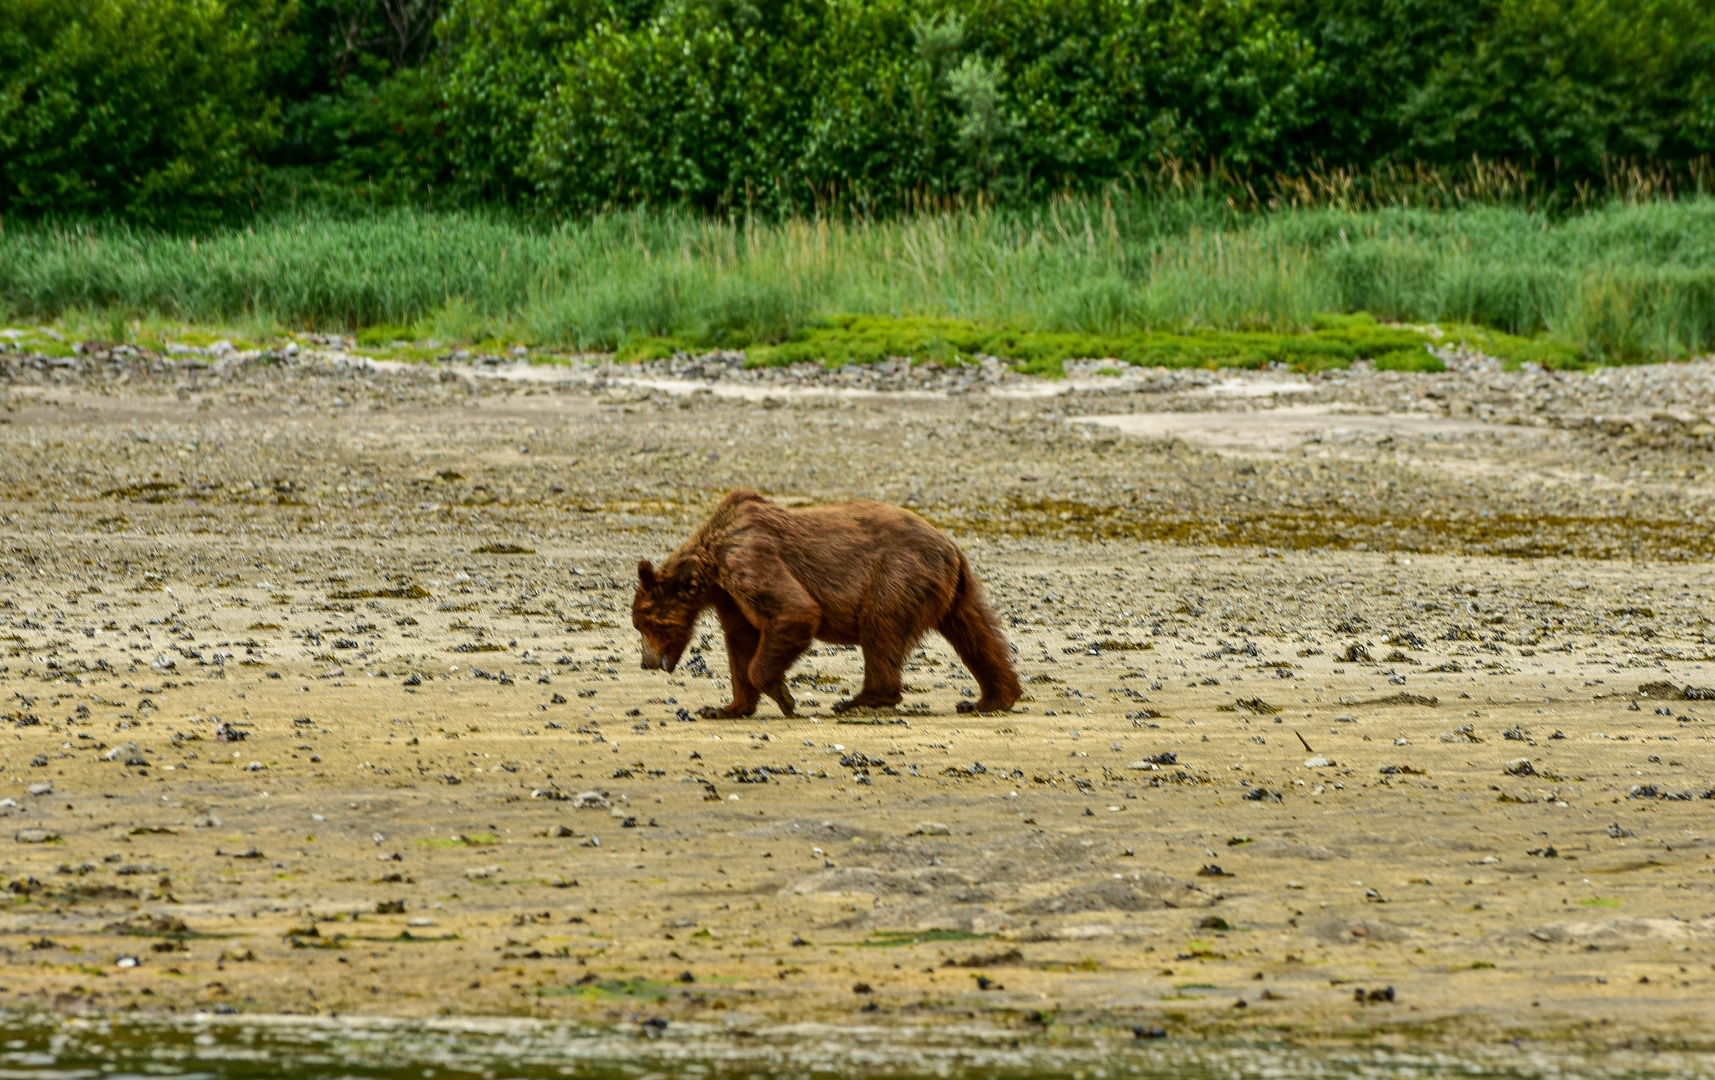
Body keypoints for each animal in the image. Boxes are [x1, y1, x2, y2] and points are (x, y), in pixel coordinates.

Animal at [637, 490, 1022, 720]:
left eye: (644, 623)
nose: (646, 662)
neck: (710, 564)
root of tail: (951, 546)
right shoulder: (728, 595)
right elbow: (741, 642)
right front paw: (723, 707)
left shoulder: (748, 557)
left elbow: (794, 611)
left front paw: (782, 694)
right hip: (956, 589)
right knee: (977, 634)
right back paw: (991, 697)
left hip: (899, 572)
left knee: (881, 627)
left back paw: (859, 699)